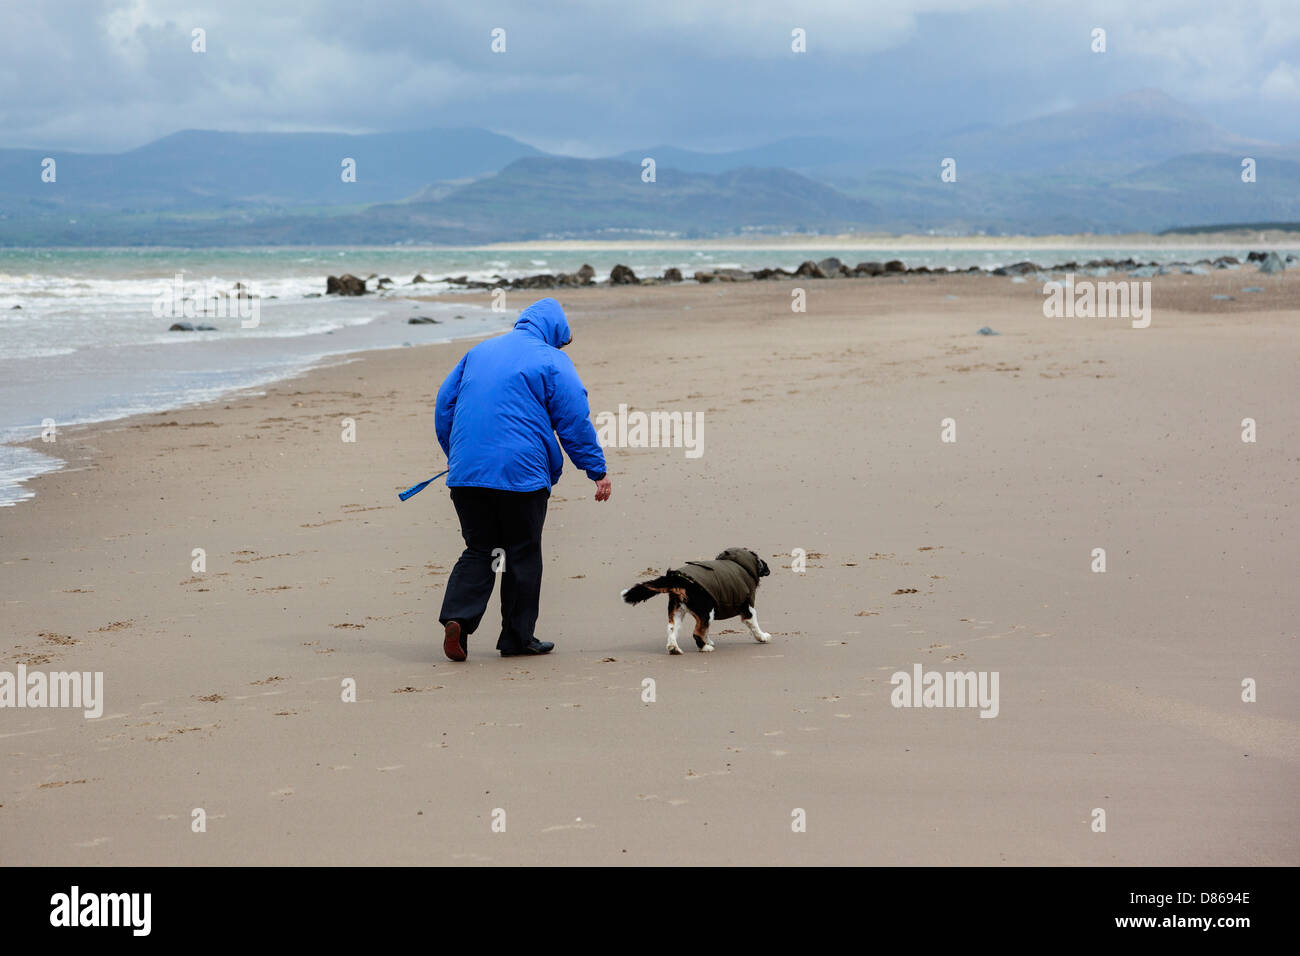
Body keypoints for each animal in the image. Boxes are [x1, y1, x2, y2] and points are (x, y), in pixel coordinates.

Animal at [621, 548, 769, 655]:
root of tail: (679, 578)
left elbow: (706, 631)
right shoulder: (748, 608)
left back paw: (674, 648)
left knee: (672, 629)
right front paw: (763, 637)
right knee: (696, 633)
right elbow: (754, 624)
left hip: (677, 611)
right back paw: (704, 648)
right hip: (706, 611)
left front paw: (708, 641)